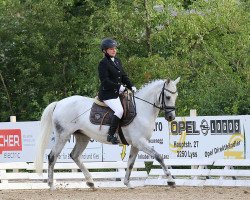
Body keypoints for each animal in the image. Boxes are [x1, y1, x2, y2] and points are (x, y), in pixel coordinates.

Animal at [34, 77, 180, 190]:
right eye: (168, 97)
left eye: (176, 96)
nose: (171, 117)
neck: (142, 110)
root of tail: (59, 103)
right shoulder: (140, 142)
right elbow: (159, 157)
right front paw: (171, 180)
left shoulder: (136, 144)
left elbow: (130, 163)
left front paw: (127, 183)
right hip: (63, 136)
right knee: (52, 156)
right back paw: (51, 185)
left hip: (82, 137)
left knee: (74, 155)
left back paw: (91, 182)